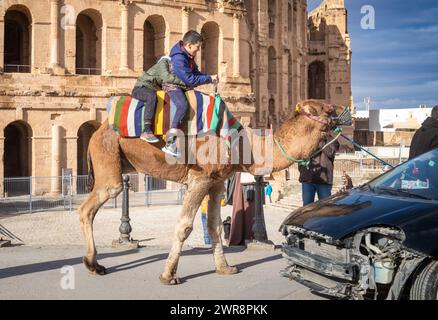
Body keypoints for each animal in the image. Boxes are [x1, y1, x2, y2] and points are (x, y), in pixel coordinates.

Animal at [78, 98, 346, 284]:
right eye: (327, 109)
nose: (343, 112)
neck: (244, 147)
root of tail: (97, 130)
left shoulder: (217, 182)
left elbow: (215, 226)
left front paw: (225, 268)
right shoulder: (200, 178)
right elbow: (184, 225)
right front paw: (168, 275)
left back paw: (94, 265)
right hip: (108, 159)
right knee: (90, 205)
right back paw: (93, 264)